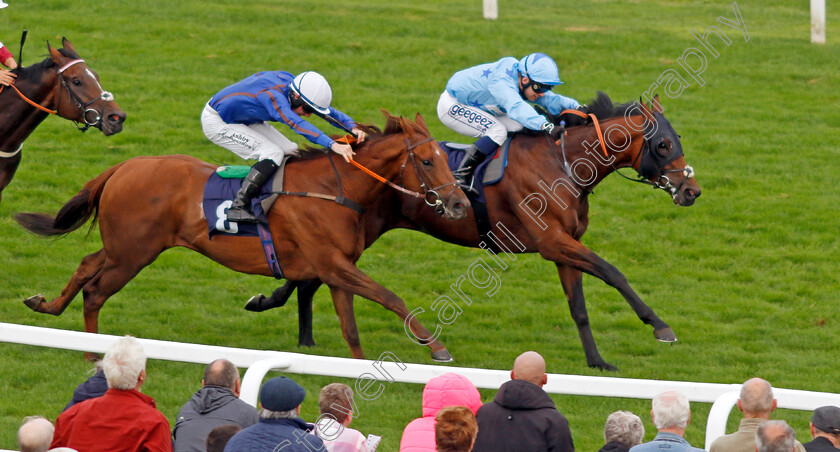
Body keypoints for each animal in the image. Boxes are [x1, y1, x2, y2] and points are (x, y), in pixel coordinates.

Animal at [18, 112, 472, 360]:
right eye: (428, 161)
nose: (458, 204)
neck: (334, 189)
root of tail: (123, 166)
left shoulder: (337, 270)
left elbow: (351, 328)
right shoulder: (332, 264)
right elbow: (391, 297)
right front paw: (436, 347)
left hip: (124, 247)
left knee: (86, 265)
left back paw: (47, 306)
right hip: (133, 253)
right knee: (95, 292)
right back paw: (93, 355)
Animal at [249, 93, 704, 370]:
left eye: (678, 138)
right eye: (663, 144)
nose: (692, 190)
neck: (563, 165)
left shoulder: (564, 245)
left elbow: (579, 307)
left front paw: (597, 362)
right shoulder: (553, 242)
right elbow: (613, 272)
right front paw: (659, 326)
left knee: (314, 278)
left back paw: (296, 329)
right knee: (318, 275)